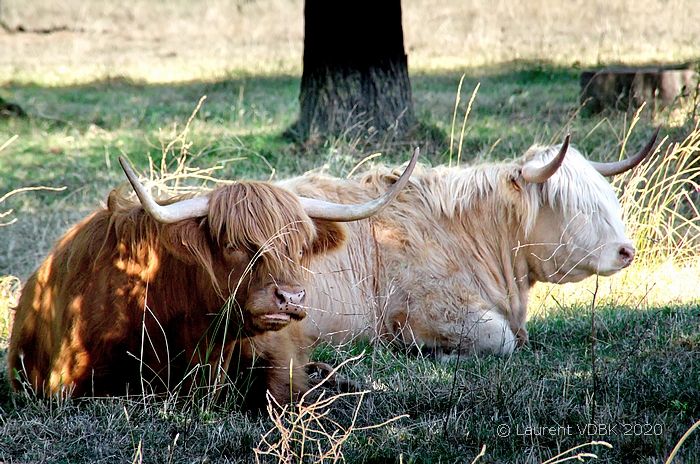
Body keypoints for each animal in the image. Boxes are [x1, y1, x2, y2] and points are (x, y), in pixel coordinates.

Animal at [7, 149, 418, 407]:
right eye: (233, 244)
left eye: (300, 248)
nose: (290, 298)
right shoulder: (67, 382)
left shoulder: (277, 355)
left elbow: (279, 393)